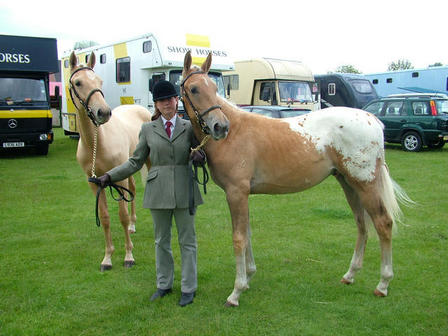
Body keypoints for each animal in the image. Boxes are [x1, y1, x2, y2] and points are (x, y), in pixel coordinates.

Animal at [69, 51, 151, 270]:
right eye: (78, 82)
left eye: (99, 80)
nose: (103, 112)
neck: (97, 143)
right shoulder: (96, 182)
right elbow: (105, 217)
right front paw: (107, 257)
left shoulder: (117, 177)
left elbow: (121, 216)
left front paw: (128, 256)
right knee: (132, 190)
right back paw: (132, 226)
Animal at [180, 51, 412, 306]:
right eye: (193, 89)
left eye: (213, 87)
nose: (220, 127)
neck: (236, 134)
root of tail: (373, 119)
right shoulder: (243, 195)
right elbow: (248, 234)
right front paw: (249, 277)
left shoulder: (236, 193)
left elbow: (239, 238)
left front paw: (236, 291)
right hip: (348, 184)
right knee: (362, 225)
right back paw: (350, 275)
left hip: (365, 184)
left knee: (383, 223)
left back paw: (383, 284)